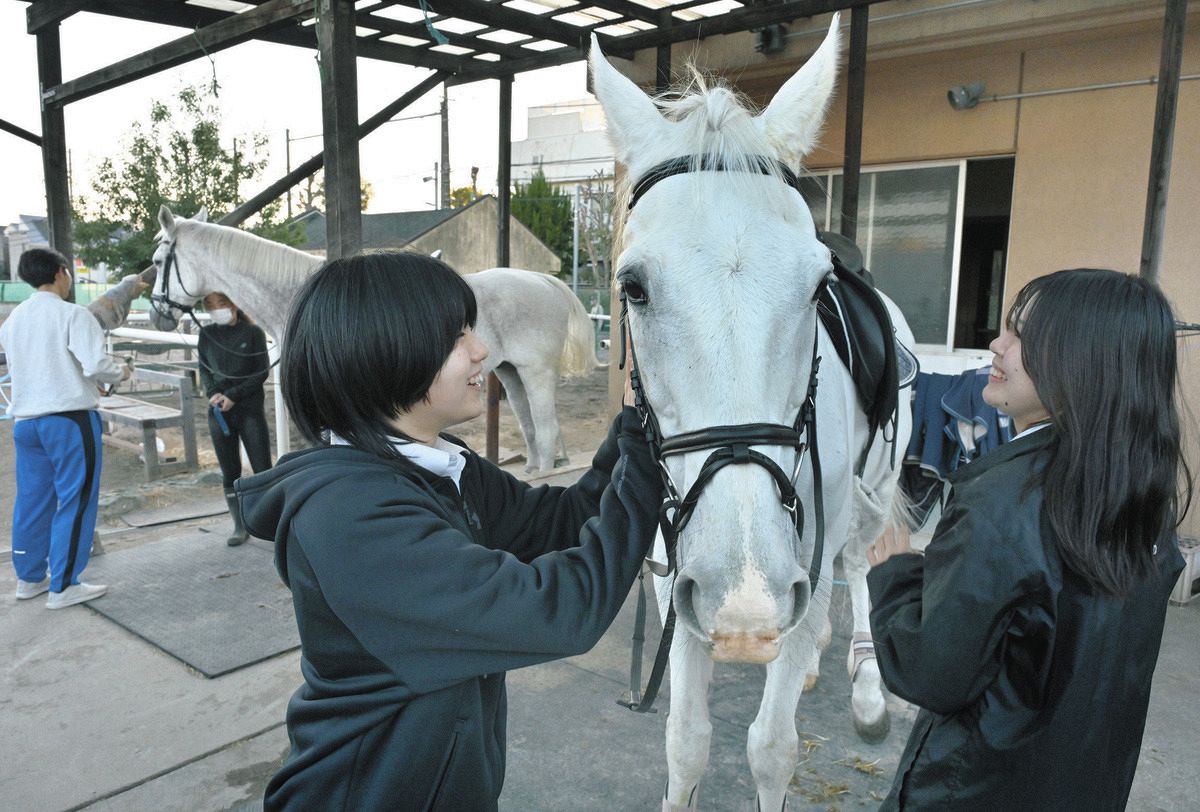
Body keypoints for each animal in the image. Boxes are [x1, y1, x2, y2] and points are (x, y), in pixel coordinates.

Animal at [147, 206, 597, 472]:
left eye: (157, 260)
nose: (156, 314)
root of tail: (546, 281)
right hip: (510, 373)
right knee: (533, 431)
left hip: (535, 372)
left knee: (546, 429)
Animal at [590, 15, 915, 810]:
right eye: (633, 287)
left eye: (818, 288)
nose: (746, 606)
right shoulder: (679, 578)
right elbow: (686, 742)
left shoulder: (796, 572)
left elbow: (771, 749)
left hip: (867, 500)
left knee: (857, 565)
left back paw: (864, 690)